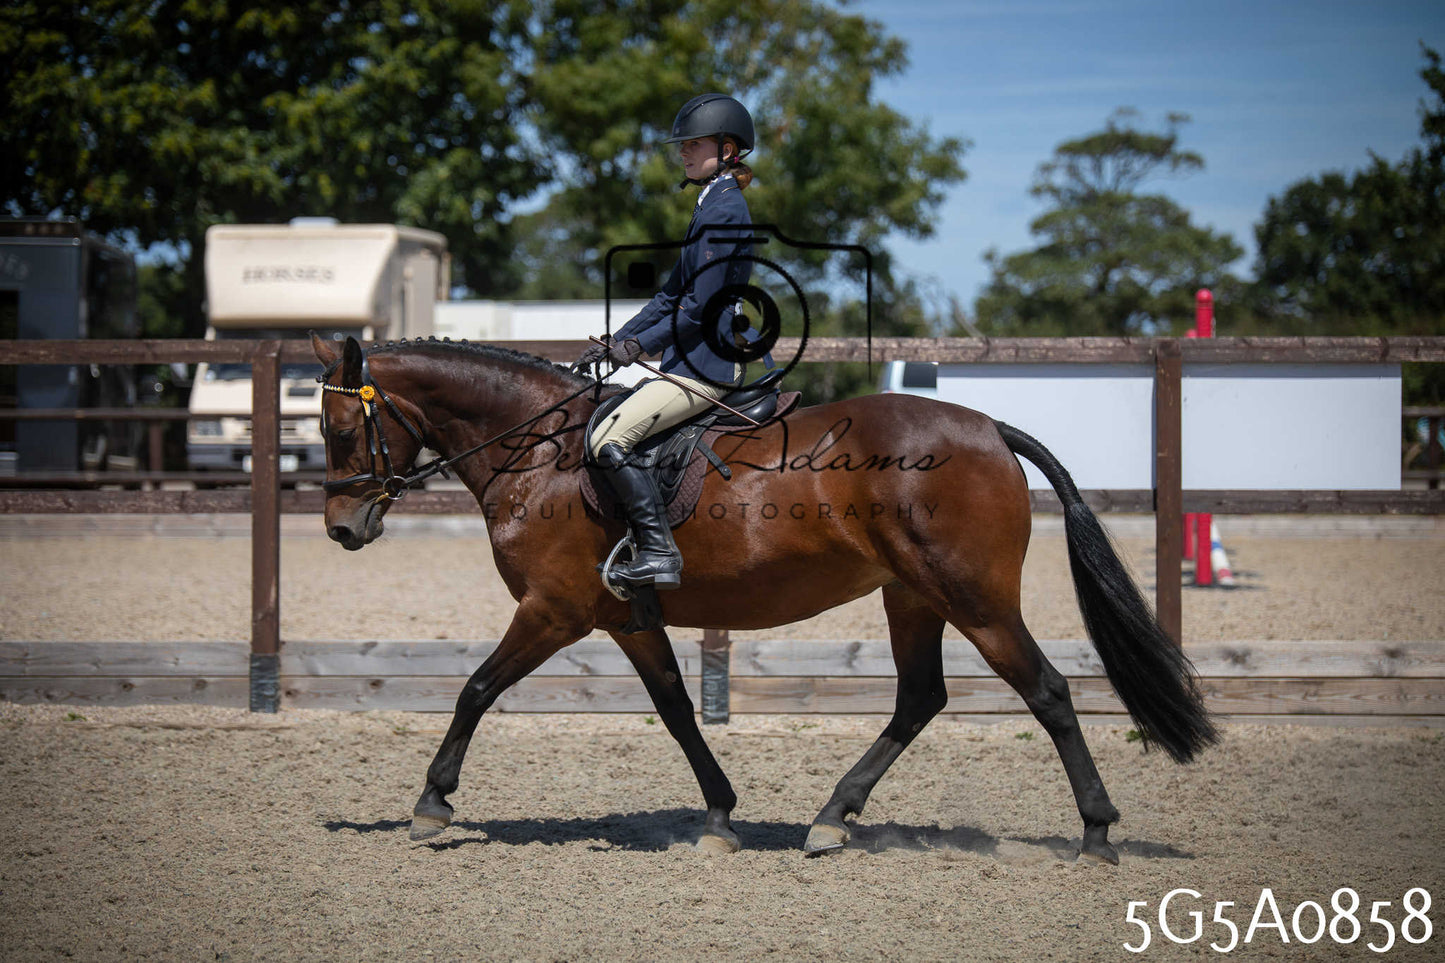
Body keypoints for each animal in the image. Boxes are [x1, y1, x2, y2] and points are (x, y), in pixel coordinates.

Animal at [311, 333, 1217, 863]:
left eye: (338, 430)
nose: (341, 528)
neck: (541, 450)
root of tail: (990, 428)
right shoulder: (623, 617)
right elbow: (676, 708)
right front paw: (718, 814)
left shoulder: (552, 609)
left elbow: (474, 688)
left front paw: (431, 801)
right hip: (912, 595)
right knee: (920, 697)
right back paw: (831, 816)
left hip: (974, 598)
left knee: (1047, 691)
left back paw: (1095, 831)